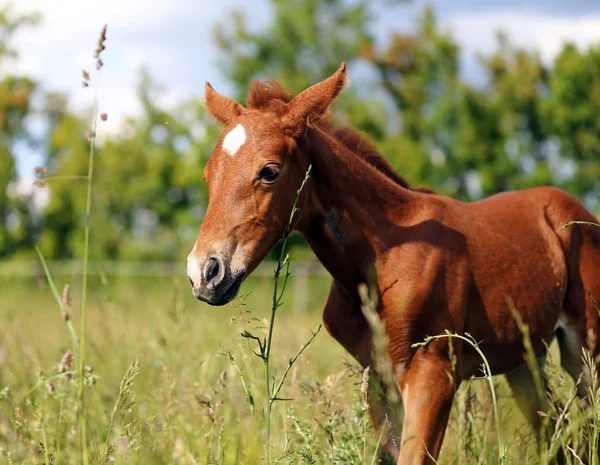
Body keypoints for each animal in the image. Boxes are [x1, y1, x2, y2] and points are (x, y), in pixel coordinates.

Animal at [186, 63, 600, 462]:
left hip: (584, 349)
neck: (382, 260)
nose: (205, 272)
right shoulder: (378, 381)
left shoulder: (434, 373)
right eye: (207, 174)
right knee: (557, 431)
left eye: (270, 171)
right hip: (524, 359)